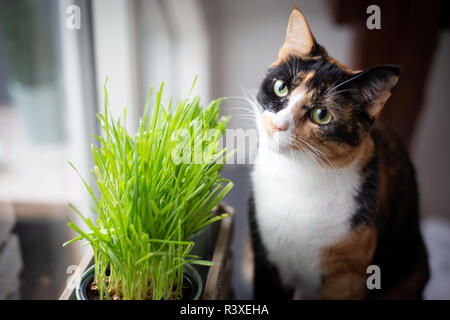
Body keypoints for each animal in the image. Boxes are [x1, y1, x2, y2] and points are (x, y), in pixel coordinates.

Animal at [250, 5, 428, 300]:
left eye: (321, 115)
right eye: (281, 87)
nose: (278, 124)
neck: (297, 176)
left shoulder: (348, 276)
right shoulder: (265, 257)